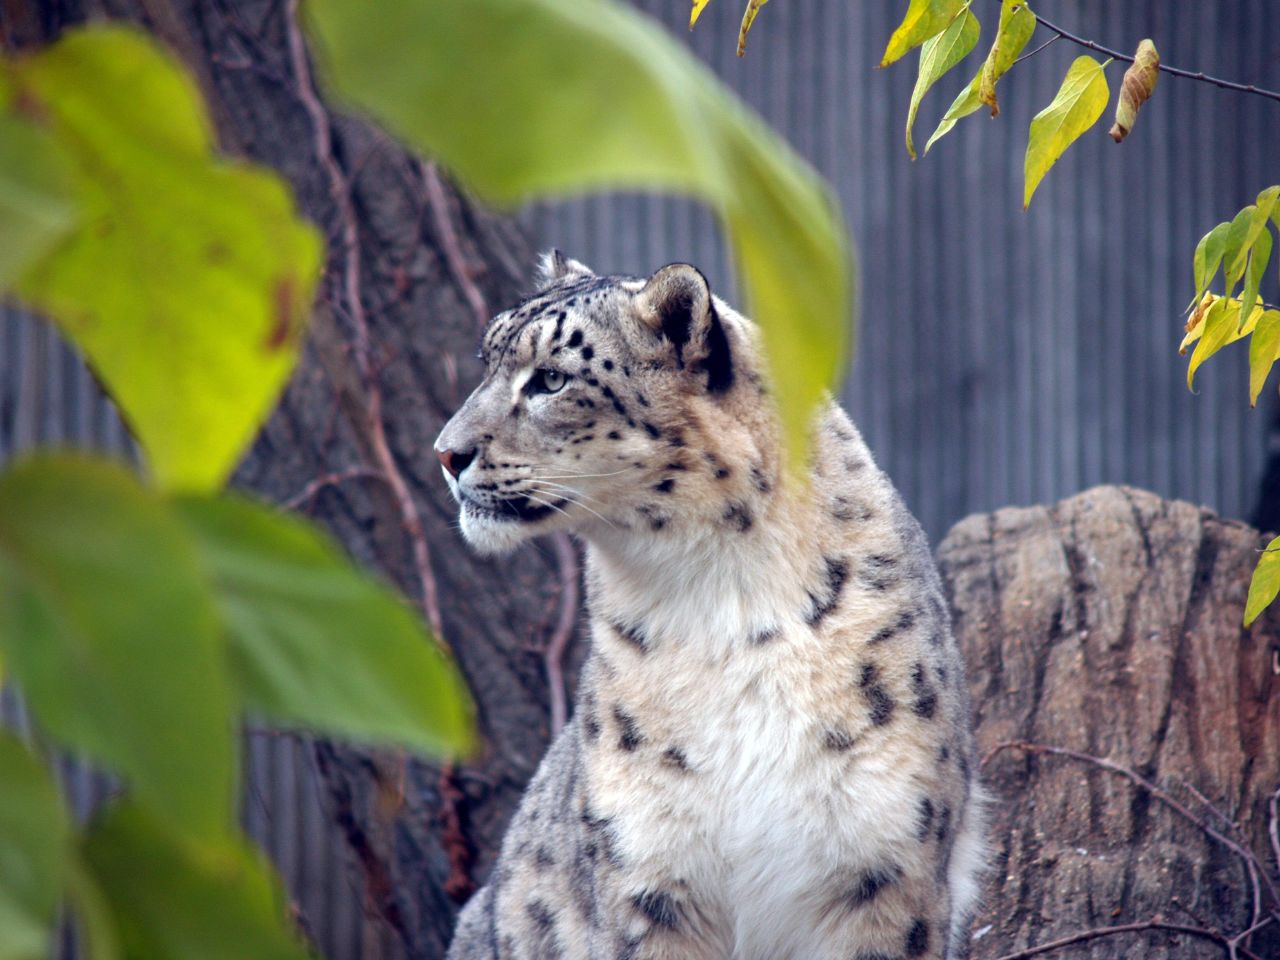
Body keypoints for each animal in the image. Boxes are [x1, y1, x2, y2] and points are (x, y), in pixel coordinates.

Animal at [435, 252, 983, 957]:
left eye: (551, 379)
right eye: (486, 362)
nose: (445, 454)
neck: (719, 601)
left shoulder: (887, 868)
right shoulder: (646, 873)